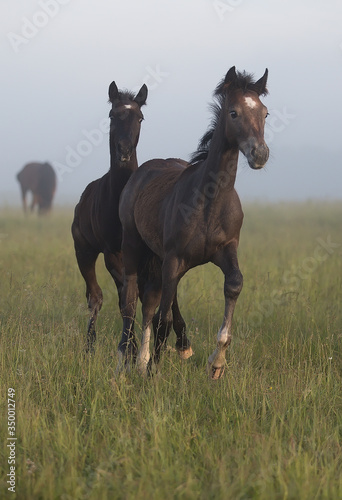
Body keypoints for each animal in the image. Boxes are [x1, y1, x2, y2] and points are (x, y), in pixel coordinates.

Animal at [120, 67, 270, 378]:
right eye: (234, 112)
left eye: (265, 113)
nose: (260, 154)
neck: (209, 205)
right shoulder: (174, 258)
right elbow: (162, 318)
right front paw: (153, 371)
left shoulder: (225, 249)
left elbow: (234, 284)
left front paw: (217, 362)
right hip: (134, 245)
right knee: (133, 300)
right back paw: (127, 361)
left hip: (160, 257)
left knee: (151, 299)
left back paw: (144, 359)